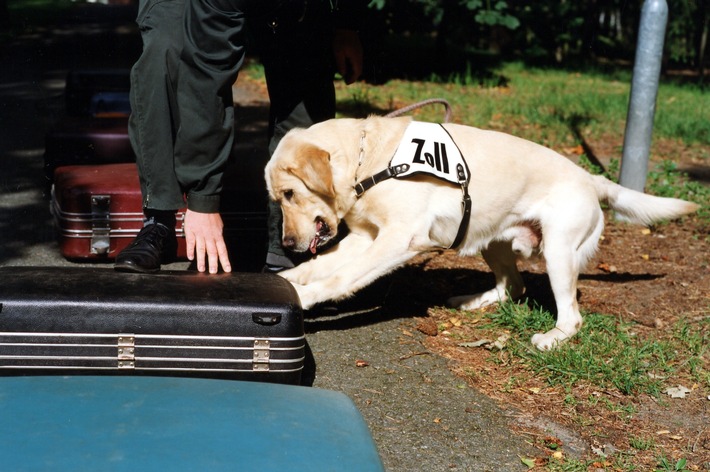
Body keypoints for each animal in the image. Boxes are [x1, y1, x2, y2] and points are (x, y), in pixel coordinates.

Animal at [268, 115, 700, 348]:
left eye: (289, 193)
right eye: (278, 197)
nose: (286, 242)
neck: (369, 162)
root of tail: (590, 177)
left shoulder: (399, 240)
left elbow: (338, 279)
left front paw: (306, 298)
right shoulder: (363, 238)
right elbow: (317, 267)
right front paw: (288, 279)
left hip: (558, 252)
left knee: (572, 315)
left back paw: (551, 338)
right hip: (488, 239)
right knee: (513, 286)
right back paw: (473, 300)